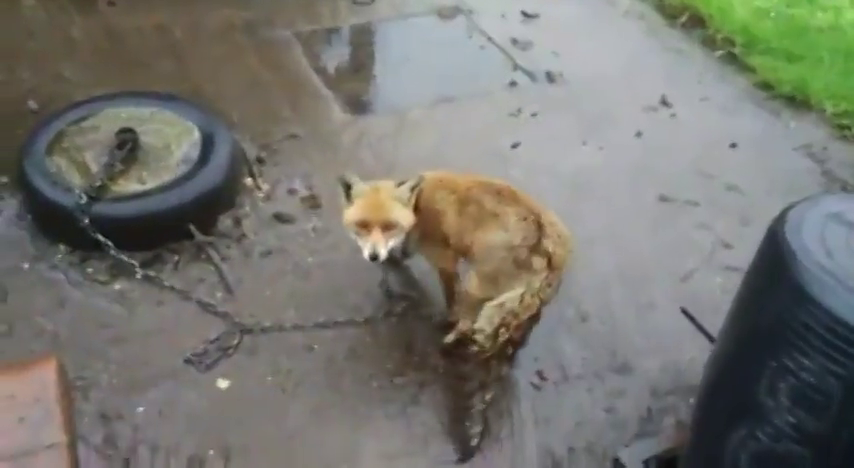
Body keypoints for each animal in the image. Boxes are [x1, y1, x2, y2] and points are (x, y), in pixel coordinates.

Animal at [337, 171, 573, 350]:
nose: (373, 257)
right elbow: (399, 259)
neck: (417, 208)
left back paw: (452, 341)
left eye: (389, 226)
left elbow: (452, 300)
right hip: (523, 302)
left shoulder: (446, 262)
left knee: (469, 323)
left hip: (474, 286)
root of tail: (548, 240)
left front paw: (447, 319)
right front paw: (390, 270)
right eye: (361, 225)